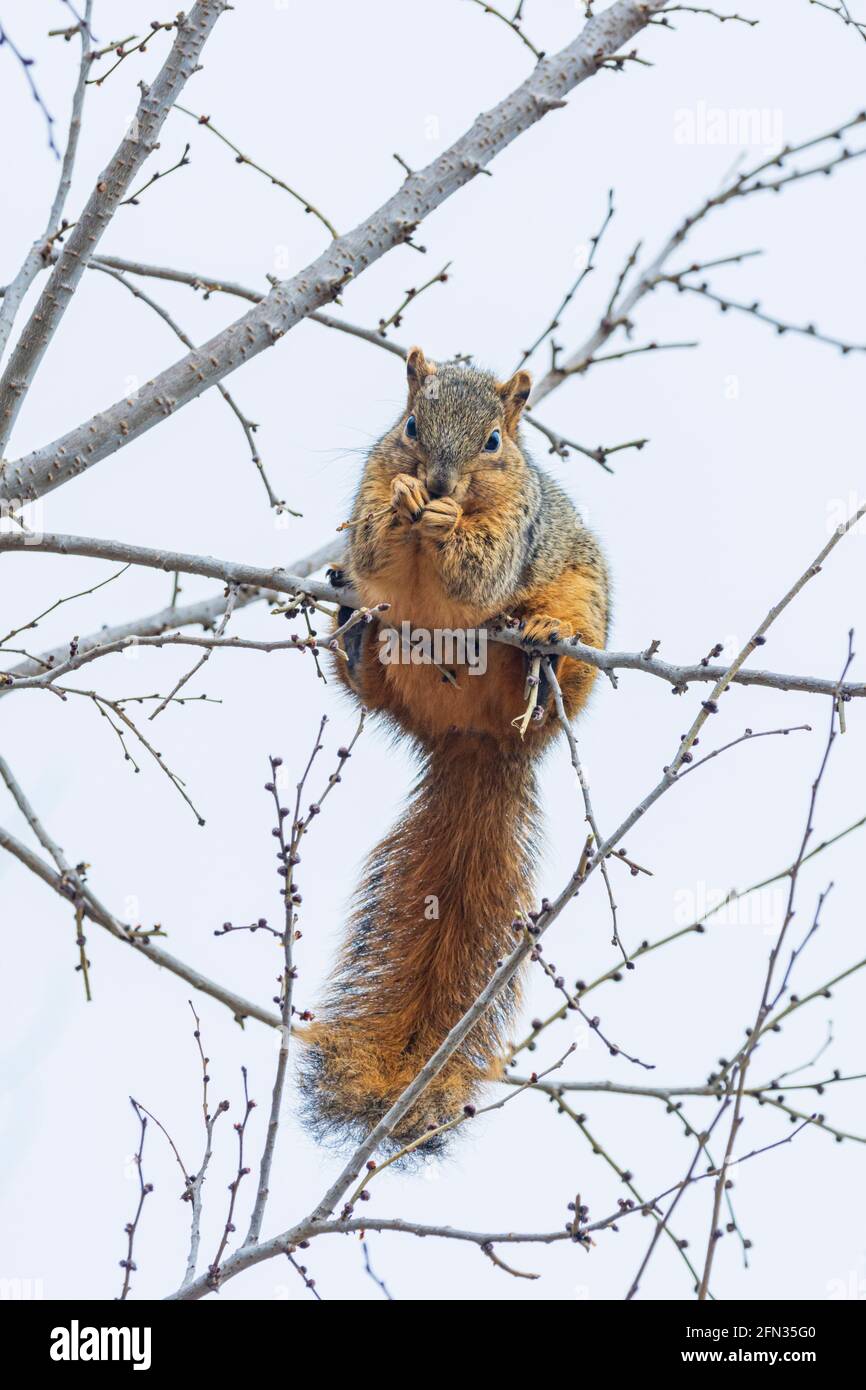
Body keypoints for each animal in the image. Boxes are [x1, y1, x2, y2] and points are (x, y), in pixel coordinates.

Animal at [300, 347, 608, 1150]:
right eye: (411, 423)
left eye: (494, 442)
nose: (437, 483)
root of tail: (476, 742)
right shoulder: (372, 482)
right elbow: (372, 538)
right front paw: (405, 502)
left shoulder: (515, 527)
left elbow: (482, 566)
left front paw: (444, 521)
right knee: (370, 672)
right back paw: (353, 638)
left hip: (581, 616)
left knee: (561, 658)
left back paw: (543, 654)